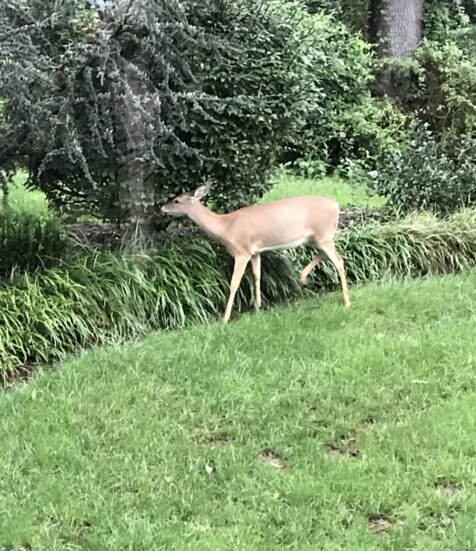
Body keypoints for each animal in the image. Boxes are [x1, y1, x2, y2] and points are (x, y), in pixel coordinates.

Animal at [162, 183, 352, 326]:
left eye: (176, 200)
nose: (163, 208)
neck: (226, 226)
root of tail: (336, 206)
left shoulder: (241, 251)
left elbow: (234, 283)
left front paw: (224, 319)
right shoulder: (255, 252)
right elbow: (256, 276)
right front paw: (258, 308)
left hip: (323, 234)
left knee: (339, 261)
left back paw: (347, 302)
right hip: (316, 237)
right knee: (327, 255)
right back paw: (303, 277)